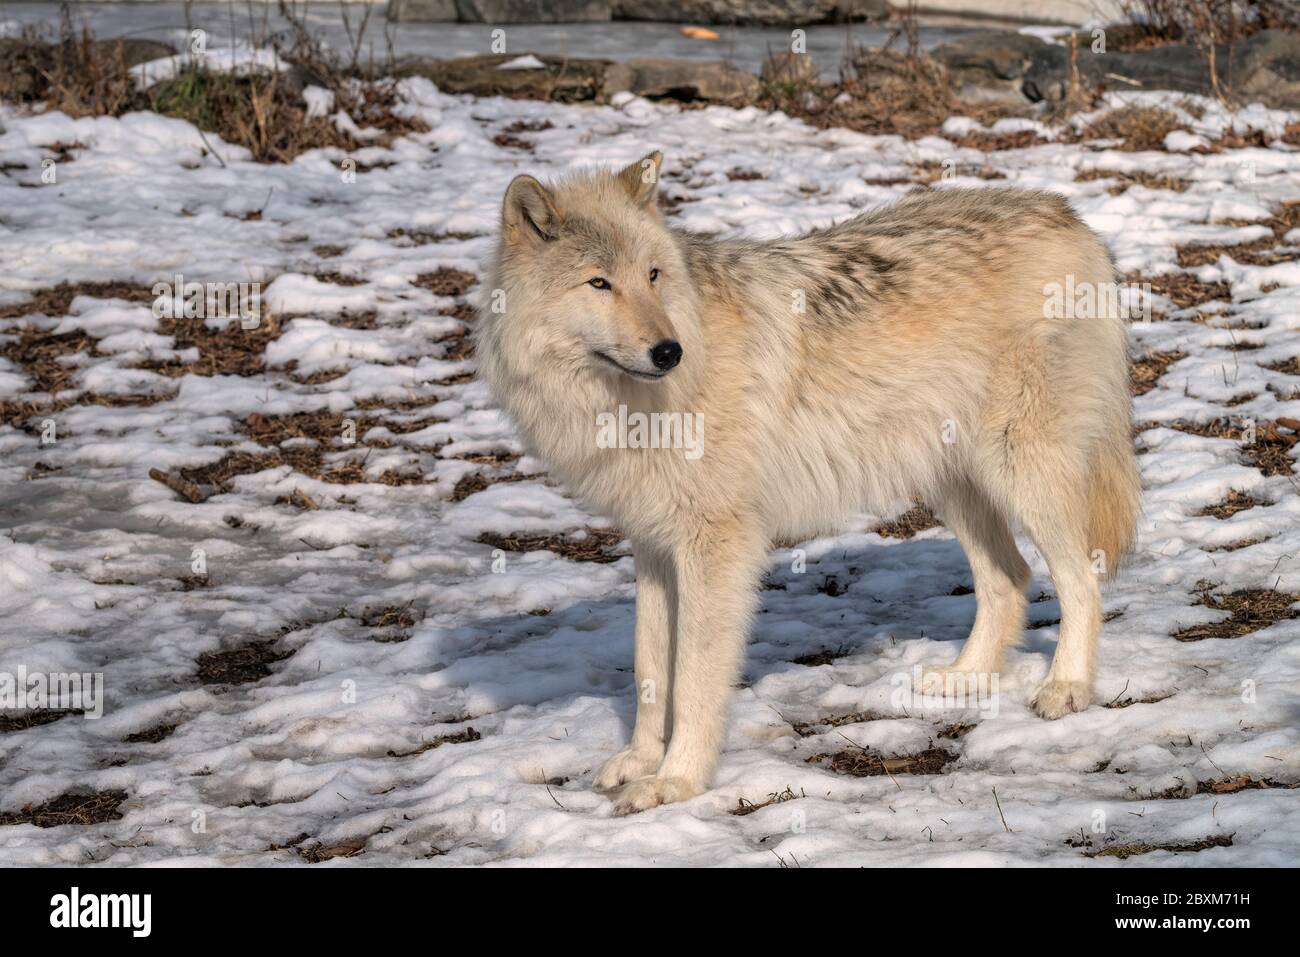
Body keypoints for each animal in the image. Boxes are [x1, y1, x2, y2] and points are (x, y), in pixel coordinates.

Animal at [478, 151, 1138, 816]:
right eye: (599, 284)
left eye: (653, 275)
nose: (669, 351)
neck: (630, 407)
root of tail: (1066, 213)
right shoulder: (654, 547)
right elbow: (648, 668)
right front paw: (639, 762)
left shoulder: (716, 548)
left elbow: (692, 680)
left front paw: (677, 781)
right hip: (950, 482)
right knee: (1010, 577)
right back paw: (962, 681)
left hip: (1021, 470)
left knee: (1082, 579)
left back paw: (1066, 687)